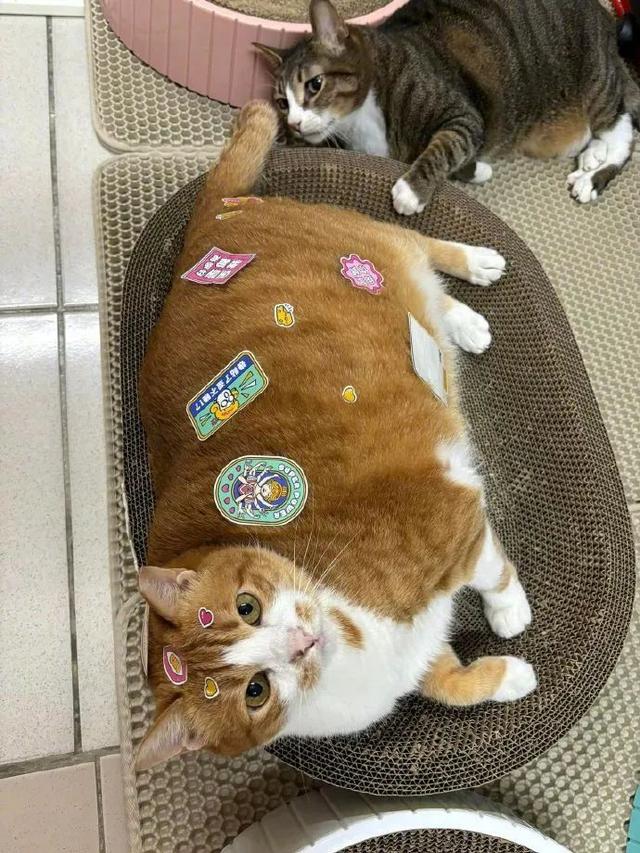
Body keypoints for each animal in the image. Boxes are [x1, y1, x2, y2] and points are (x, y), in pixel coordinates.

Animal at [135, 100, 536, 771]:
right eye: (255, 692)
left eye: (247, 606)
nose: (300, 643)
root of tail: (205, 226)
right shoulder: (418, 659)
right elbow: (454, 686)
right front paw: (509, 676)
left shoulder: (456, 523)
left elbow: (494, 574)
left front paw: (511, 613)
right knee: (425, 296)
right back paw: (462, 323)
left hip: (369, 239)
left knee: (416, 243)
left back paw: (476, 268)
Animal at [256, 0, 640, 215]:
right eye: (282, 102)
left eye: (314, 85)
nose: (294, 123)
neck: (359, 122)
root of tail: (606, 21)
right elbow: (458, 156)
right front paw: (478, 170)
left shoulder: (462, 114)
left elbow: (445, 146)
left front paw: (410, 192)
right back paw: (592, 156)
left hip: (595, 81)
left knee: (622, 125)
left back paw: (593, 176)